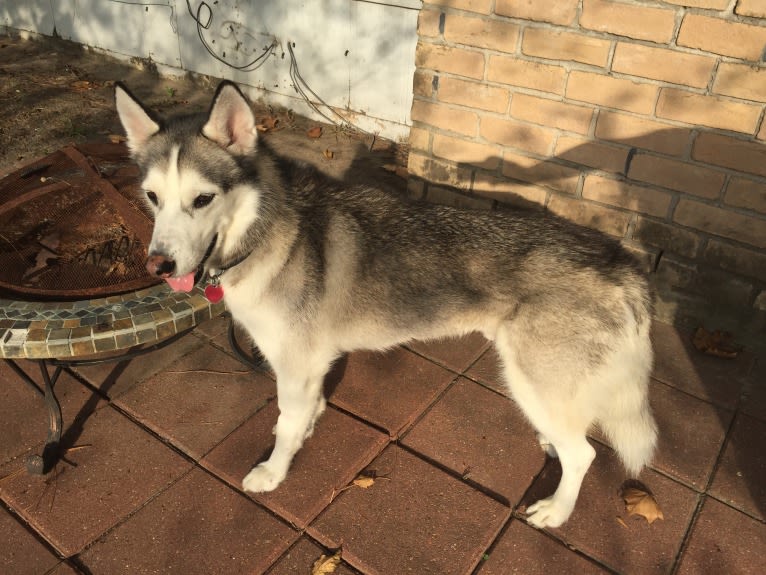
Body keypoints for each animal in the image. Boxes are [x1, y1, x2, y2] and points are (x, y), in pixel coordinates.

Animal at [115, 81, 660, 532]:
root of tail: (624, 264)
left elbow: (284, 423)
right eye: (152, 197)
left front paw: (274, 470)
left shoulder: (293, 363)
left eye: (202, 199)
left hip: (530, 377)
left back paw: (558, 510)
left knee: (584, 455)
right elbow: (304, 410)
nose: (159, 265)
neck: (267, 232)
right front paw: (310, 423)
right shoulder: (309, 365)